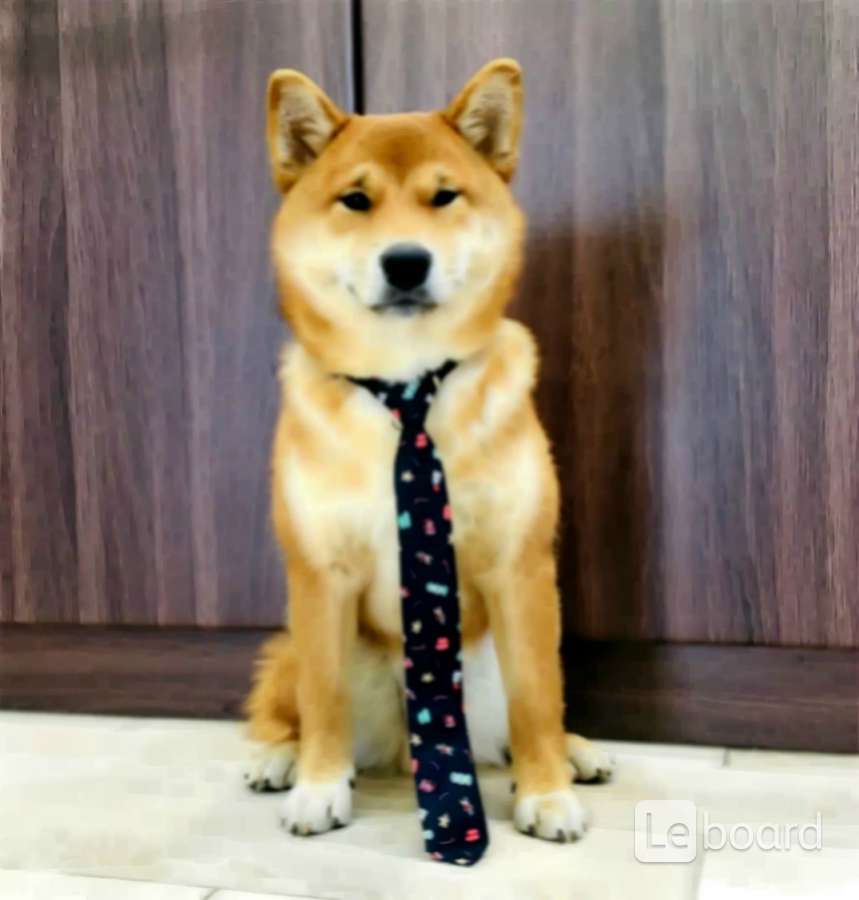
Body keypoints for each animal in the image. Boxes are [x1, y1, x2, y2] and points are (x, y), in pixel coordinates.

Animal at [244, 58, 613, 844]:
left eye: (444, 196)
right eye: (355, 200)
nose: (407, 261)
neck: (405, 385)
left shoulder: (520, 568)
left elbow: (539, 699)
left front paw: (547, 792)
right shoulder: (319, 574)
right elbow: (322, 699)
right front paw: (319, 786)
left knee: (527, 715)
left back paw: (574, 753)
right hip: (301, 641)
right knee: (286, 703)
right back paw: (279, 757)